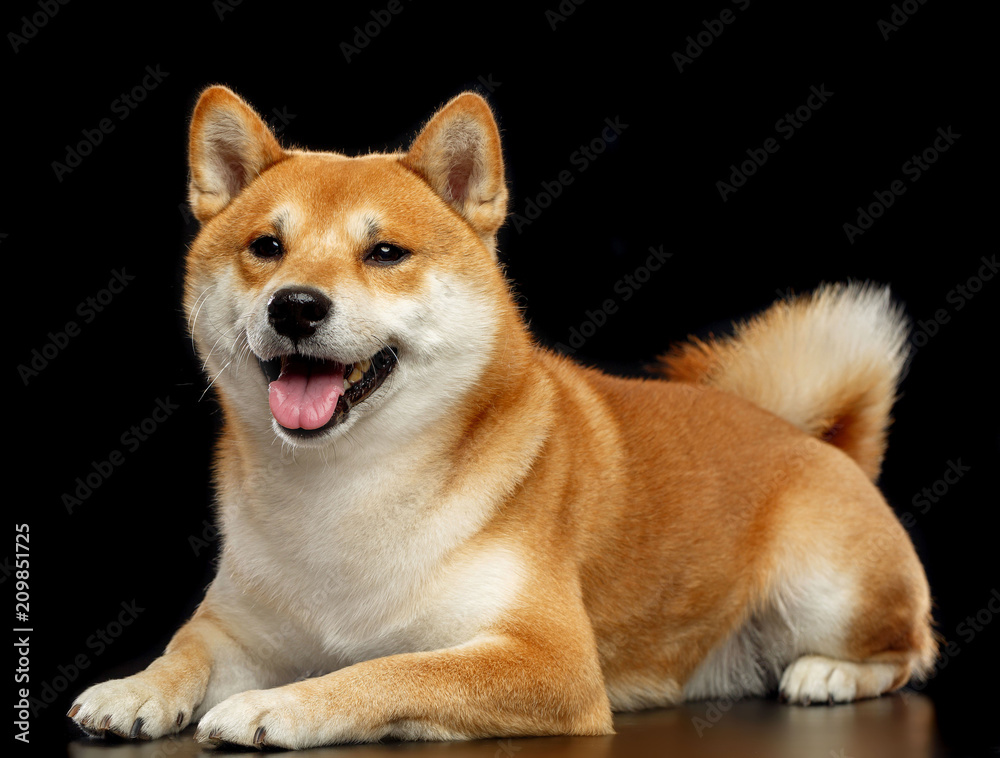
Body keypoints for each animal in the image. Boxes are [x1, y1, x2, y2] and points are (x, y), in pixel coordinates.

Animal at [68, 86, 936, 752]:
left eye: (385, 253)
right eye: (265, 247)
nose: (297, 306)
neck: (343, 491)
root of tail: (818, 441)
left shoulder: (548, 659)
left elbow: (389, 668)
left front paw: (278, 705)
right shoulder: (239, 628)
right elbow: (184, 649)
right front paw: (135, 688)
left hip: (827, 585)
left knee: (906, 652)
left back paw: (829, 671)